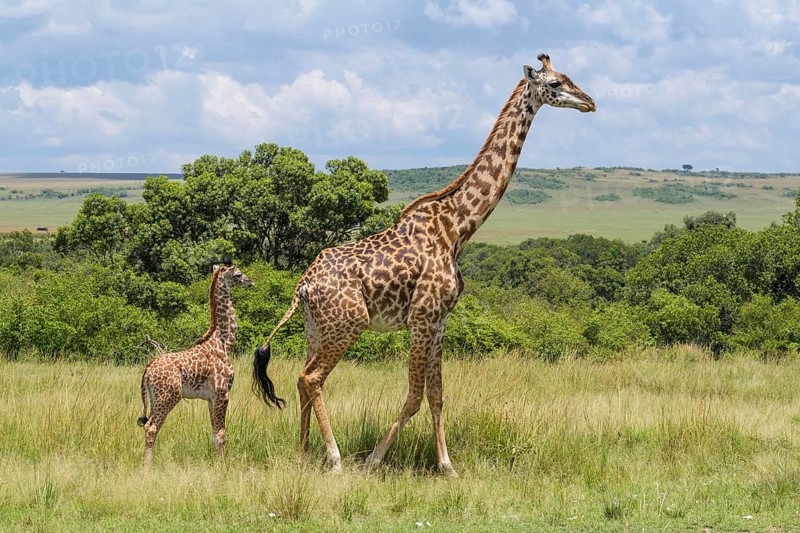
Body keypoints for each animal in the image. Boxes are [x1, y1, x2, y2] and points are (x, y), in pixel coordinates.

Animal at [138, 260, 254, 468]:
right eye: (238, 274)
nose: (250, 282)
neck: (223, 342)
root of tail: (148, 370)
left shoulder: (210, 397)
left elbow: (214, 434)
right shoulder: (222, 392)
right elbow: (221, 434)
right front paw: (221, 467)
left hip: (153, 397)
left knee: (148, 425)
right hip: (168, 397)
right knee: (151, 427)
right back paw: (147, 468)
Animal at [253, 54, 595, 476]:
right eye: (556, 83)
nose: (590, 102)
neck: (457, 228)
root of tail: (302, 286)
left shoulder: (441, 320)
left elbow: (437, 395)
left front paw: (447, 465)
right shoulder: (423, 316)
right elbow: (415, 395)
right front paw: (374, 459)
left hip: (317, 327)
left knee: (302, 378)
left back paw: (303, 453)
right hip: (350, 323)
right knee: (312, 377)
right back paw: (335, 458)